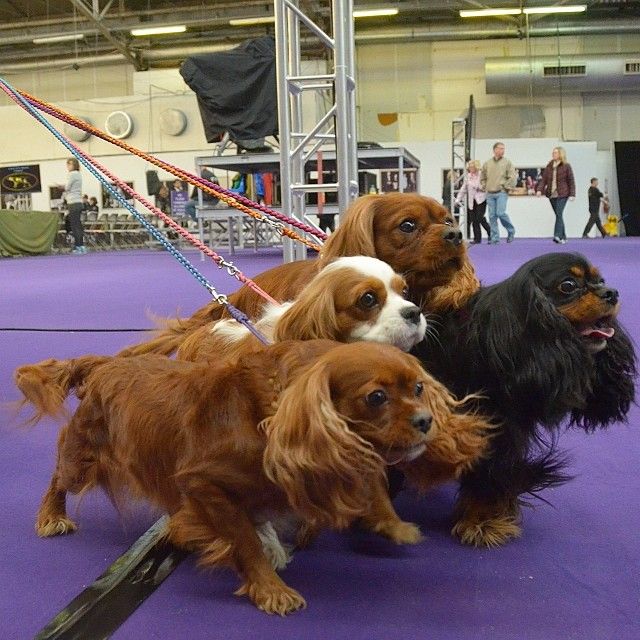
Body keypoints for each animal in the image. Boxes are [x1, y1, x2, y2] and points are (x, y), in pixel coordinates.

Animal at [13, 340, 490, 616]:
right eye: (376, 397)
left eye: (418, 388)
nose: (427, 421)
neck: (270, 415)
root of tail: (104, 363)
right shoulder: (202, 485)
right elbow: (242, 539)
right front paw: (270, 589)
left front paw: (390, 523)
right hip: (81, 458)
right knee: (58, 478)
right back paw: (51, 516)